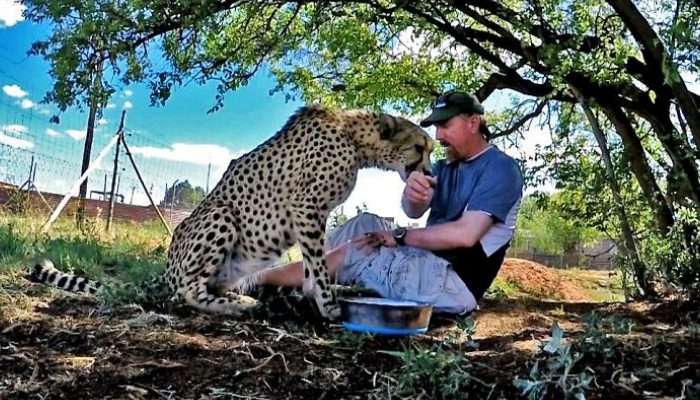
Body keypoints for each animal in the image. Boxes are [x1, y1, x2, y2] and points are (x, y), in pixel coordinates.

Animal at [37, 105, 438, 318]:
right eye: (420, 147)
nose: (432, 174)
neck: (355, 140)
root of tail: (165, 269)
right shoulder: (307, 208)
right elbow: (319, 265)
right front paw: (329, 306)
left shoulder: (314, 214)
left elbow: (313, 266)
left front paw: (316, 295)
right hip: (221, 215)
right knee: (187, 292)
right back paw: (238, 305)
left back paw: (236, 297)